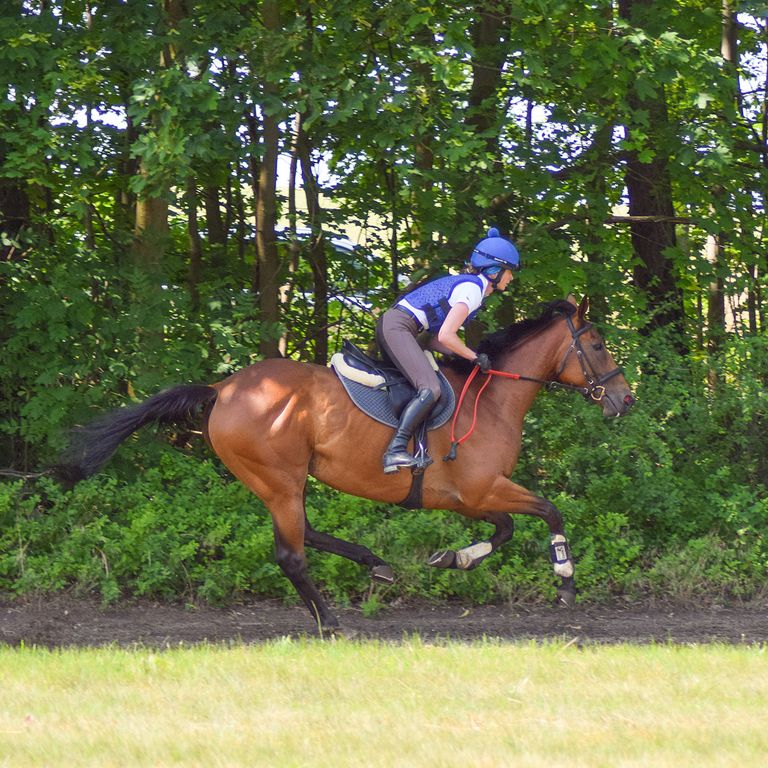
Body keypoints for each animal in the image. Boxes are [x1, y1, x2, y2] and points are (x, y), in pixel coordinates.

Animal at [60, 294, 632, 632]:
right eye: (599, 344)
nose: (626, 400)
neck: (491, 399)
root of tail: (222, 387)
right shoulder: (481, 487)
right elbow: (550, 511)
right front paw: (565, 581)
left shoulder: (467, 496)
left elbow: (507, 528)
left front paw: (454, 558)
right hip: (279, 478)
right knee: (291, 554)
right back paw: (332, 621)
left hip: (283, 481)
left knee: (307, 533)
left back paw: (374, 565)